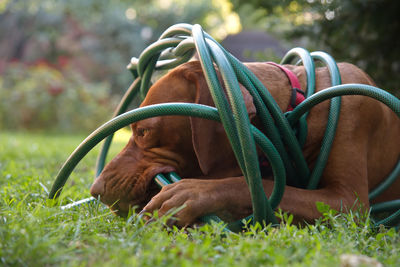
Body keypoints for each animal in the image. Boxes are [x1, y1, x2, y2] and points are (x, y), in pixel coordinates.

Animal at [90, 60, 400, 226]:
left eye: (143, 131)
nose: (96, 189)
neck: (294, 113)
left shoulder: (348, 201)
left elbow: (255, 186)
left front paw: (192, 194)